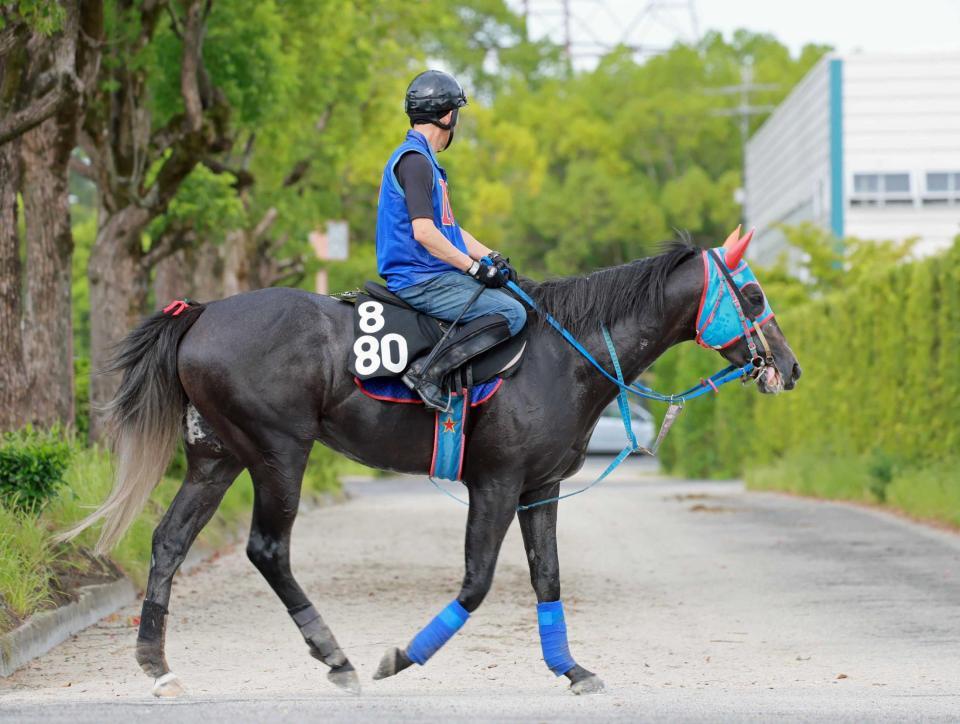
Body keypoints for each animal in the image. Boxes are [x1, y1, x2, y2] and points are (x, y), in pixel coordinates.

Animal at [63, 232, 800, 698]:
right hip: (278, 453)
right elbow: (476, 584)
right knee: (268, 549)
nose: (789, 369)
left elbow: (548, 578)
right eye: (754, 294)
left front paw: (572, 669)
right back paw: (337, 658)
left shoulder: (539, 489)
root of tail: (205, 311)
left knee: (169, 543)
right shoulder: (496, 484)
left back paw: (158, 667)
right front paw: (400, 658)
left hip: (216, 459)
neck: (562, 352)